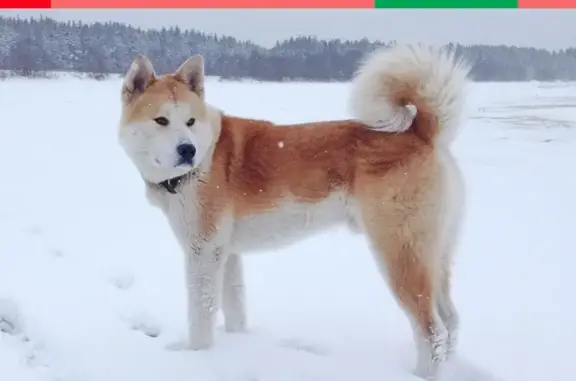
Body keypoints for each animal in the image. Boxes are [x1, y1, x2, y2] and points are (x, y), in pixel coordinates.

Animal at [118, 43, 472, 378]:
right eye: (161, 120)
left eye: (190, 121)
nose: (187, 150)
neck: (203, 160)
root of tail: (423, 132)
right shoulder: (227, 254)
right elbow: (235, 309)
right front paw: (237, 345)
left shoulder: (203, 255)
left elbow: (200, 316)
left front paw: (198, 357)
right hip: (435, 258)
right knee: (452, 321)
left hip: (399, 256)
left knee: (432, 332)